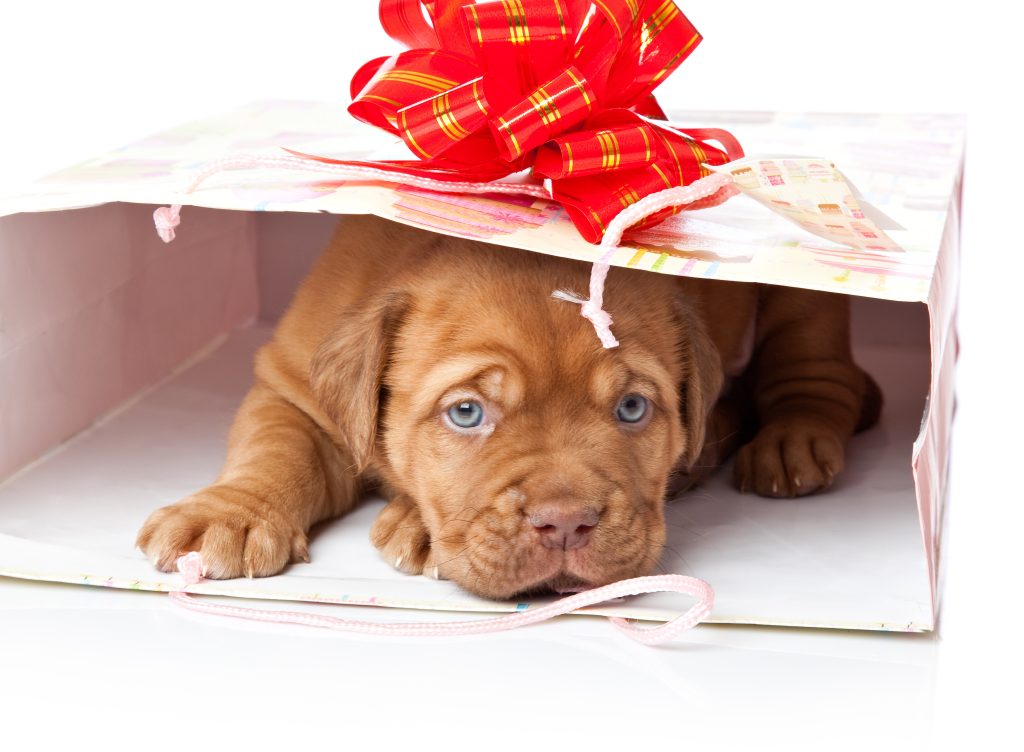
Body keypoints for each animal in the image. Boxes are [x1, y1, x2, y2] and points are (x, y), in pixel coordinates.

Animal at [134, 218, 872, 602]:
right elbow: (276, 449)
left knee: (814, 368)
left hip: (804, 300)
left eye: (633, 407)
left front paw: (419, 525)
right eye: (467, 414)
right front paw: (229, 515)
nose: (566, 524)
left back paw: (791, 441)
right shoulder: (294, 389)